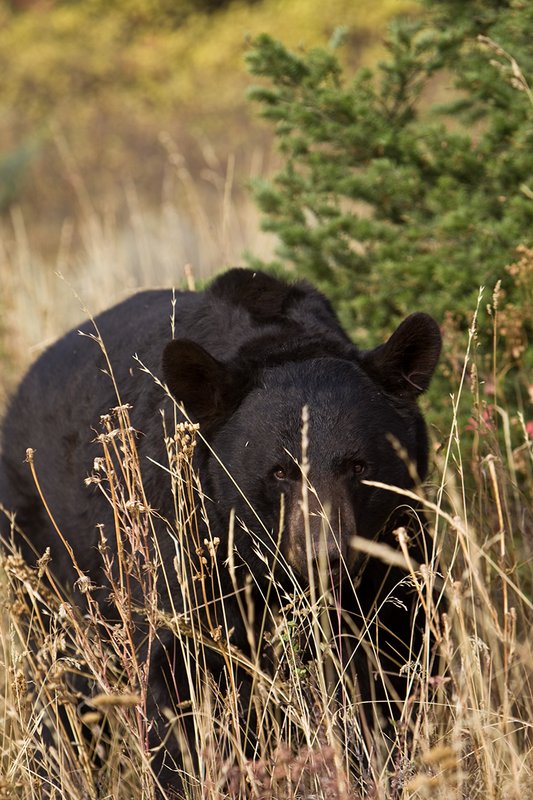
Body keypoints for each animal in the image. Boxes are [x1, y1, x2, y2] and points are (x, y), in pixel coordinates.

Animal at [0, 268, 442, 796]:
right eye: (280, 471)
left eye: (357, 466)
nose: (324, 556)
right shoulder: (183, 547)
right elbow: (174, 683)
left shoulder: (394, 548)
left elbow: (399, 654)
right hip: (43, 554)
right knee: (62, 681)